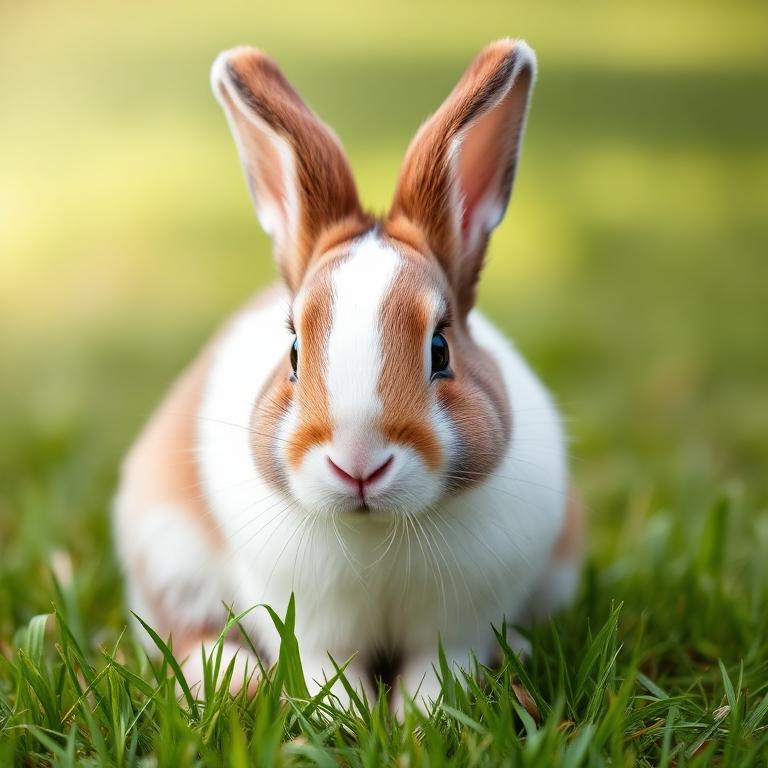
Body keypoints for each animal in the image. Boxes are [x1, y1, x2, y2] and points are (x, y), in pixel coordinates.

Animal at [113, 38, 584, 711]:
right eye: (292, 351)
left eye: (440, 349)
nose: (359, 465)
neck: (377, 533)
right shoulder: (310, 621)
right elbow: (325, 667)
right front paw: (345, 714)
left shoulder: (461, 622)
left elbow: (440, 667)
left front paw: (421, 716)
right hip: (164, 551)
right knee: (179, 633)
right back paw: (235, 678)